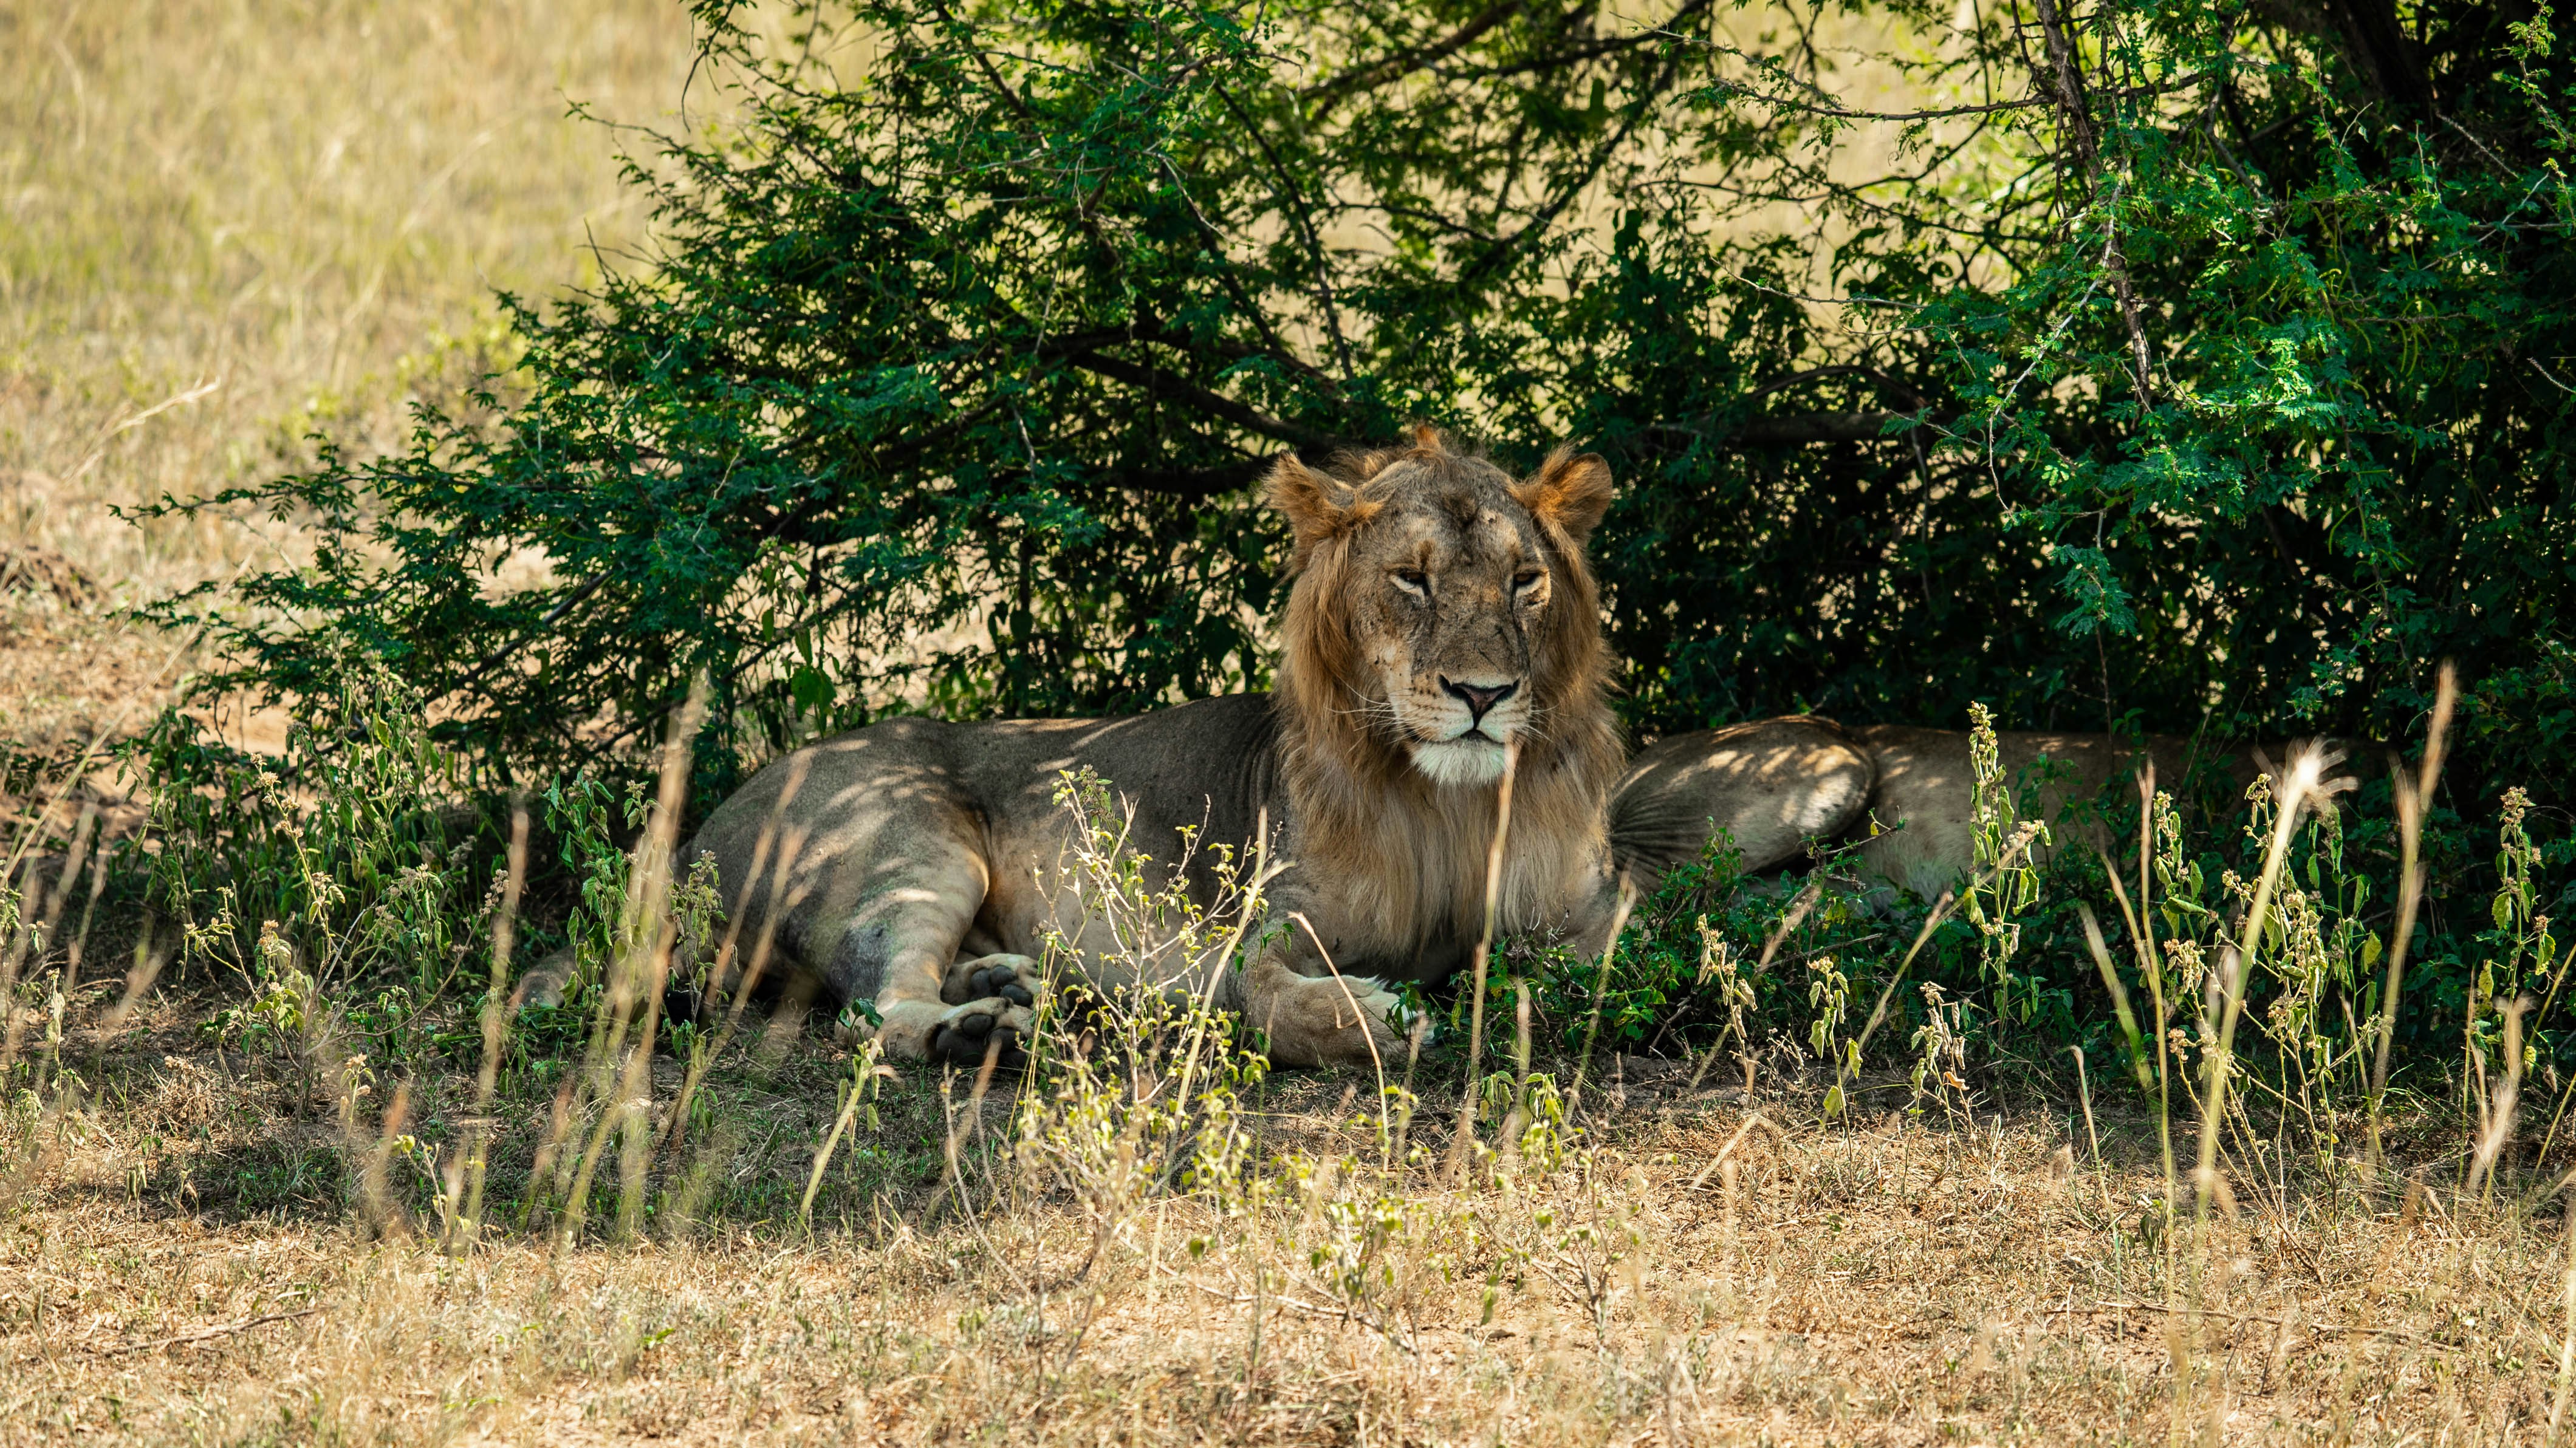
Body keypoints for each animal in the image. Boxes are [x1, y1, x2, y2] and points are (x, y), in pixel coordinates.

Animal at [684, 427, 1628, 1069]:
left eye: (1525, 581)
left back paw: (1006, 986)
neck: (1448, 808)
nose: (1483, 695)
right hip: (912, 849)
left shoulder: (1593, 913)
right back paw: (978, 1031)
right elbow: (1266, 995)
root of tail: (691, 846)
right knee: (873, 1013)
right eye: (1412, 579)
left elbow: (1594, 966)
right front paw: (1383, 1017)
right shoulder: (1246, 934)